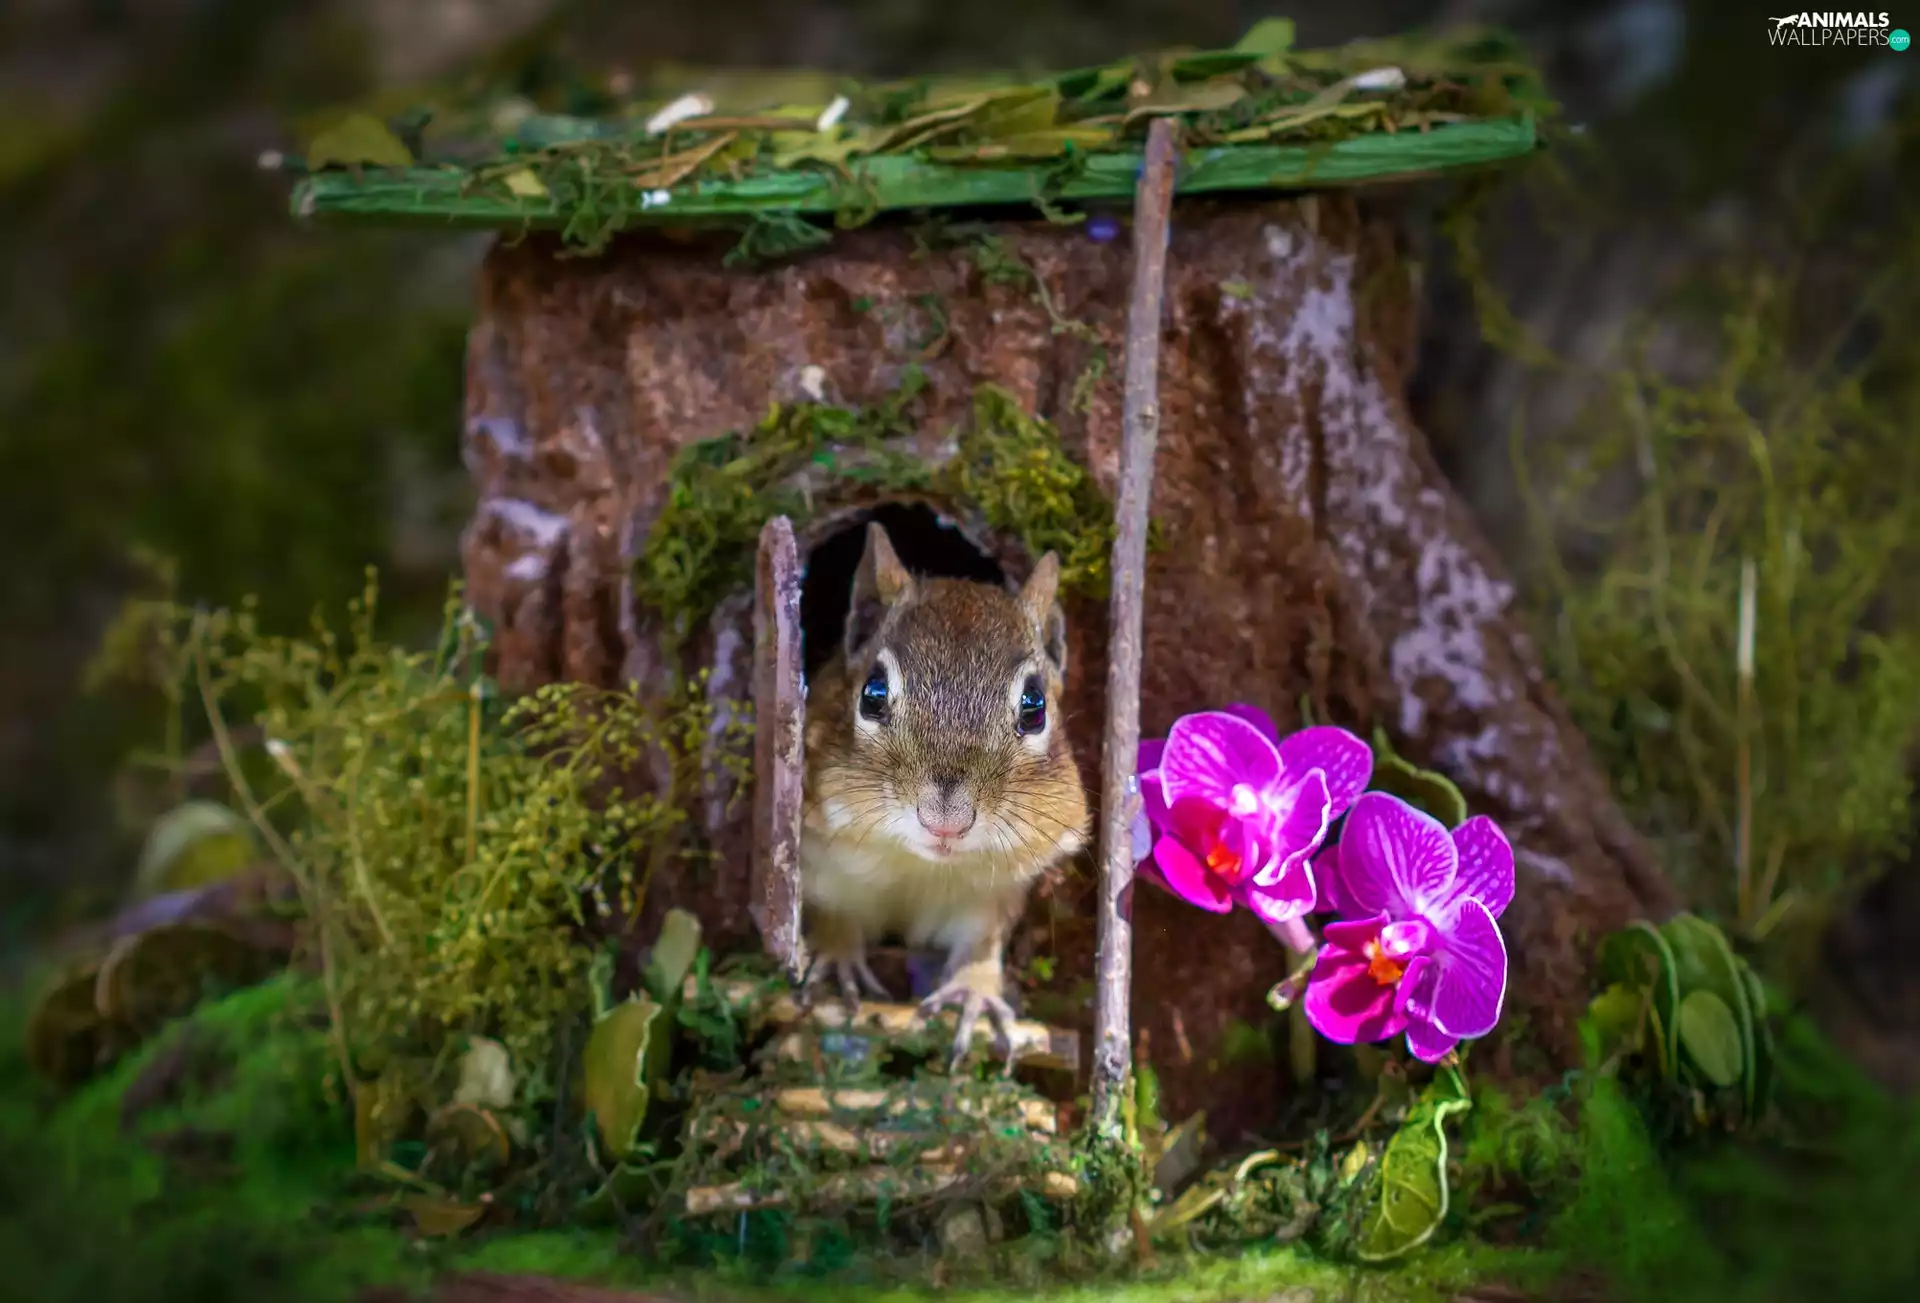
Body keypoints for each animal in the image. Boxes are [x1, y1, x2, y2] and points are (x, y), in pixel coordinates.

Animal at [799, 521, 1091, 1070]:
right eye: (872, 693)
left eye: (1035, 706)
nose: (946, 820)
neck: (917, 866)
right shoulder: (820, 859)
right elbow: (831, 911)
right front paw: (836, 958)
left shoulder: (992, 896)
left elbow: (980, 946)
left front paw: (973, 994)